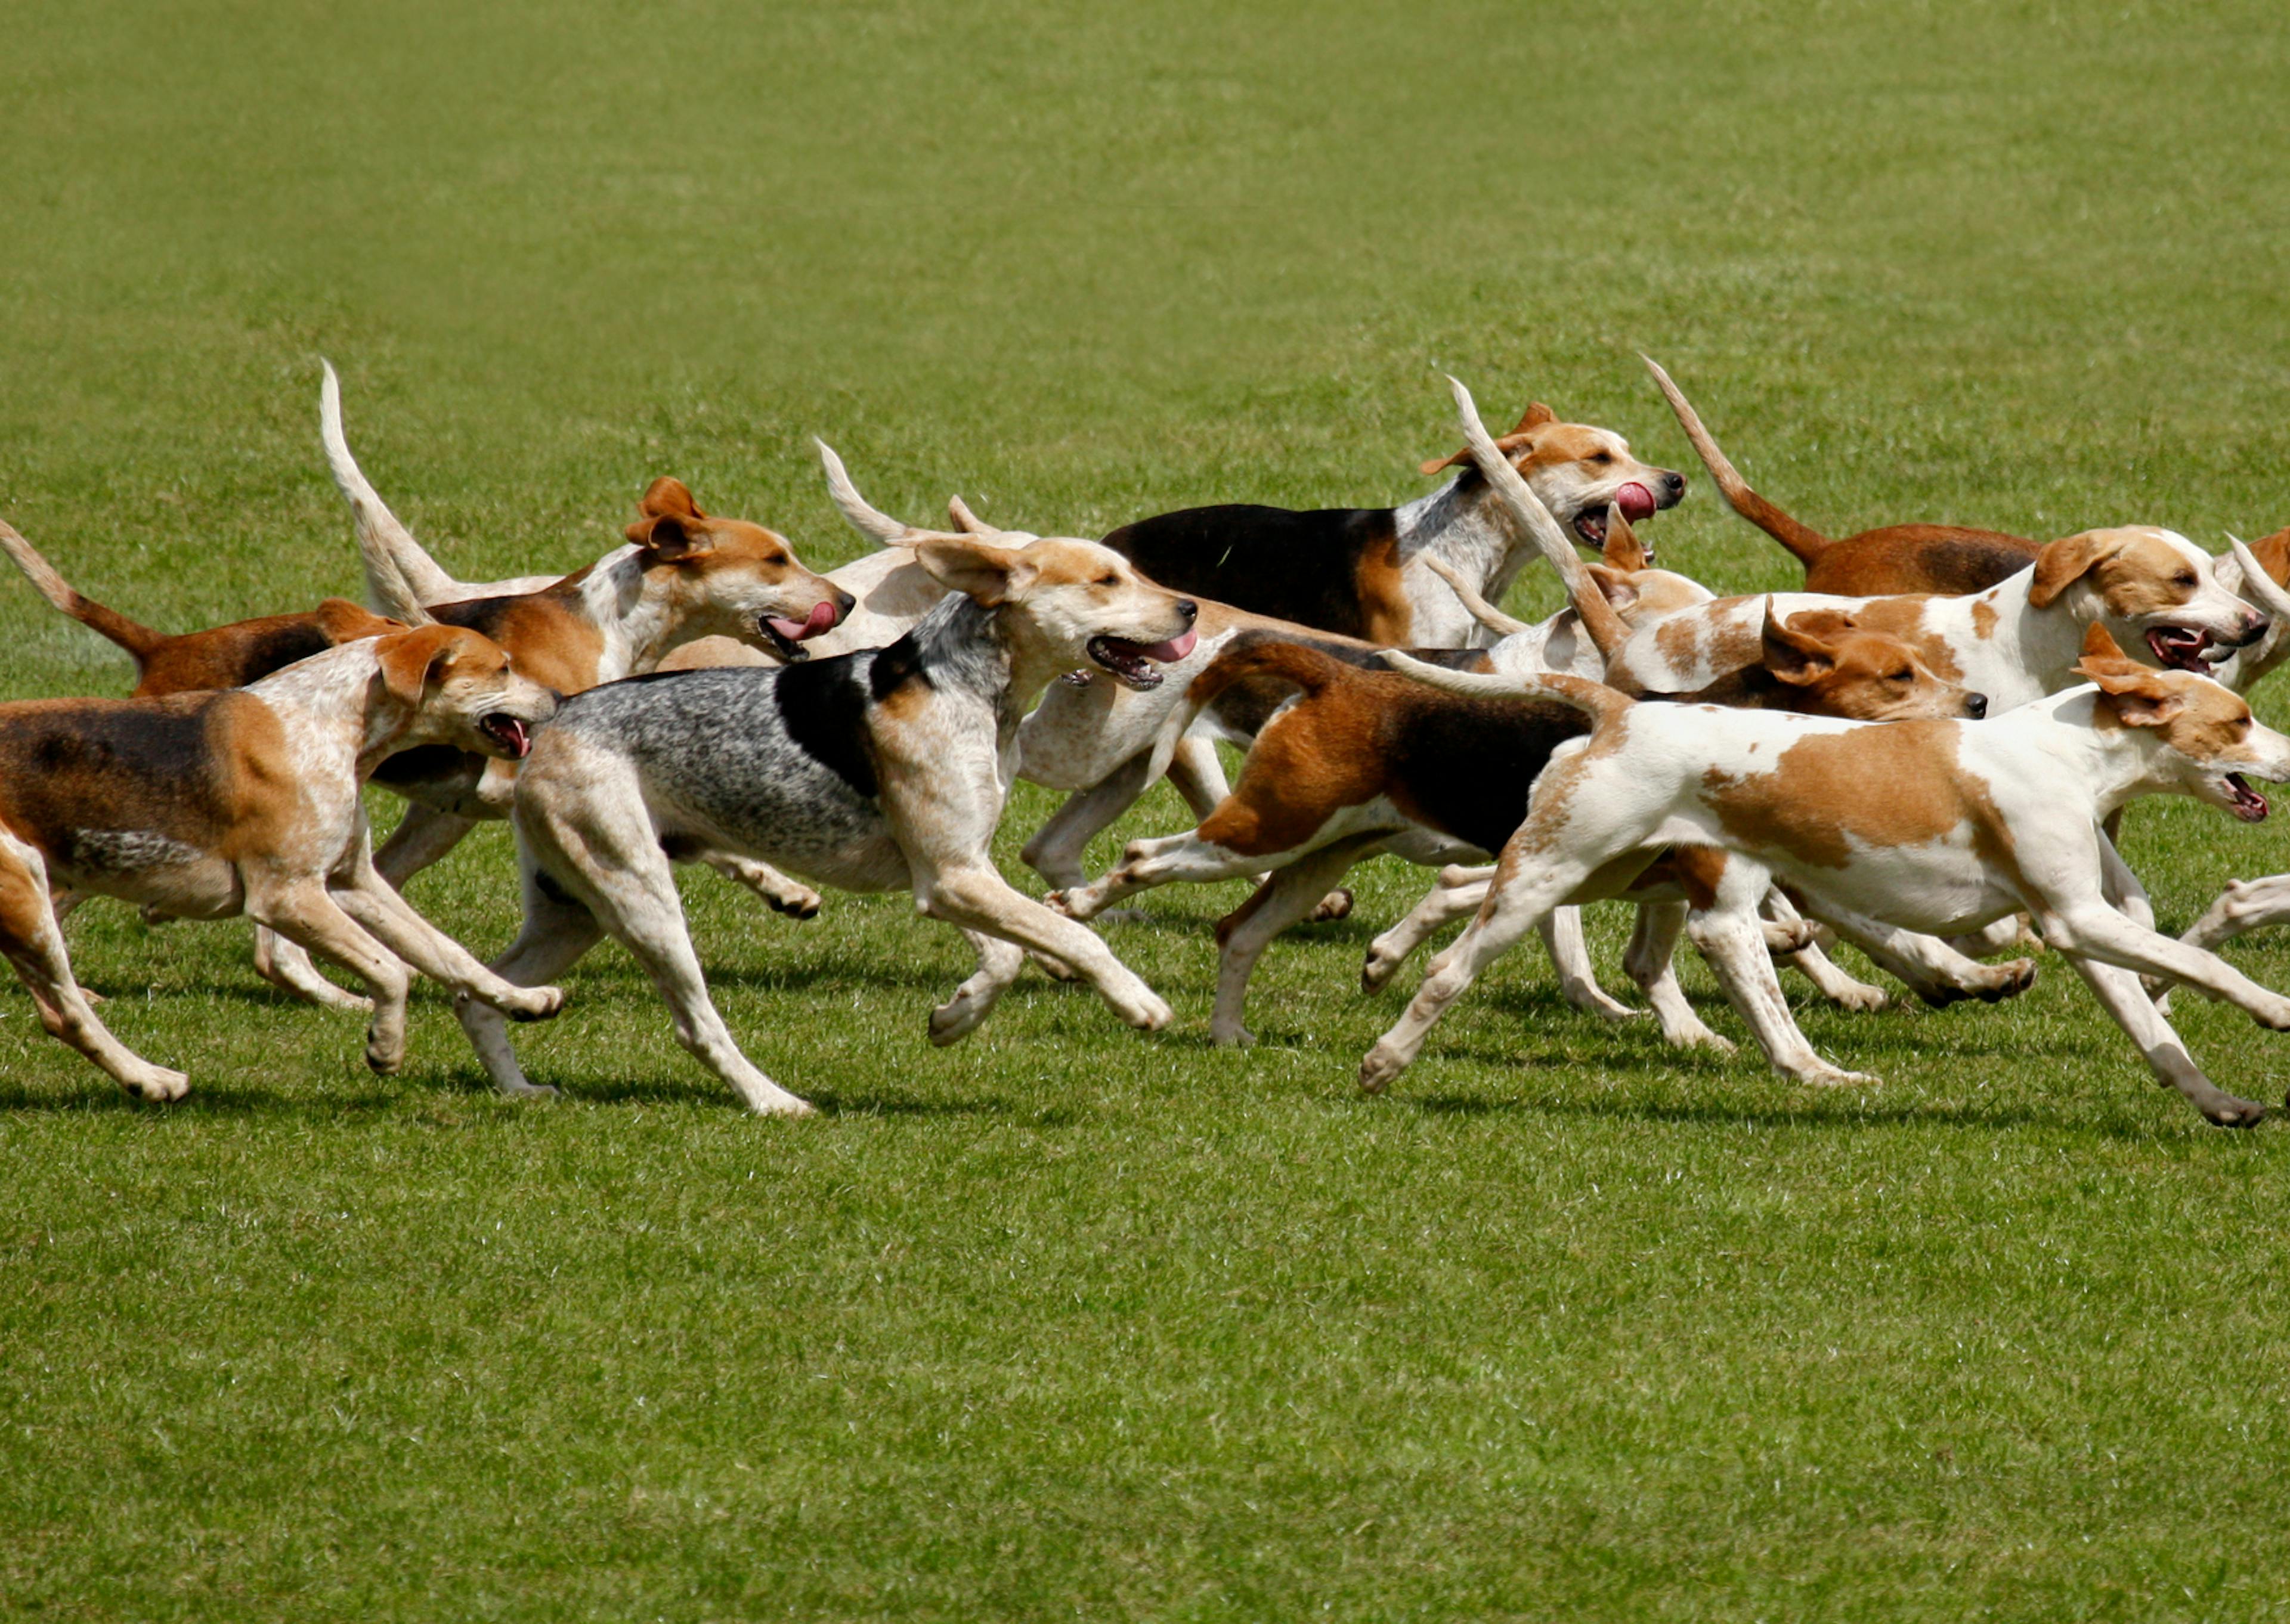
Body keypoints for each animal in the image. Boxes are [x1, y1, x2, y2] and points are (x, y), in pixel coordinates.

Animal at [446, 474, 1200, 1113]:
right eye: (1107, 580)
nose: (1192, 605)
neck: (965, 684)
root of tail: (555, 719)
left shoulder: (955, 871)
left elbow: (1010, 955)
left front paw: (954, 1018)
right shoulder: (953, 877)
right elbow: (1077, 938)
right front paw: (1138, 1002)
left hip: (573, 909)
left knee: (479, 994)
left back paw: (518, 1089)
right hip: (640, 895)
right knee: (696, 1027)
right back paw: (774, 1101)